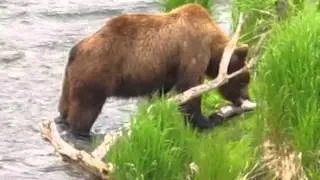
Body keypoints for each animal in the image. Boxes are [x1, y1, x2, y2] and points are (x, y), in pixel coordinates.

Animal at [57, 3, 252, 136]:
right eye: (243, 81)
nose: (247, 99)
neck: (213, 47)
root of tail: (76, 50)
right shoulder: (193, 50)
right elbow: (190, 88)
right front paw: (207, 120)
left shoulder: (167, 69)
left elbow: (163, 91)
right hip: (96, 74)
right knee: (85, 111)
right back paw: (81, 133)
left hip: (70, 79)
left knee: (65, 106)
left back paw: (62, 121)